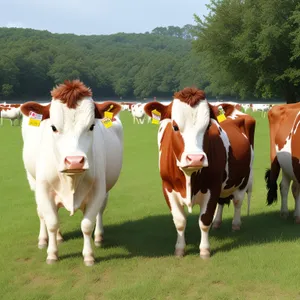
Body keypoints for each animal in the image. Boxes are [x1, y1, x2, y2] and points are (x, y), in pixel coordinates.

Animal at [20, 79, 123, 264]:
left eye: (92, 126)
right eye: (53, 127)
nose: (74, 161)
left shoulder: (98, 189)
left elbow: (87, 224)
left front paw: (88, 255)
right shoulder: (43, 189)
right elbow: (52, 222)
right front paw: (52, 253)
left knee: (100, 210)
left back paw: (98, 237)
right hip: (33, 182)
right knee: (42, 214)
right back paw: (46, 239)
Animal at [143, 87, 253, 258]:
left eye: (208, 126)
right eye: (175, 126)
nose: (195, 158)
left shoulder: (213, 186)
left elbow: (205, 220)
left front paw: (205, 250)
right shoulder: (167, 187)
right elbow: (180, 221)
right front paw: (180, 249)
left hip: (244, 178)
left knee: (237, 201)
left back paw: (235, 224)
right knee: (222, 202)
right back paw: (218, 222)